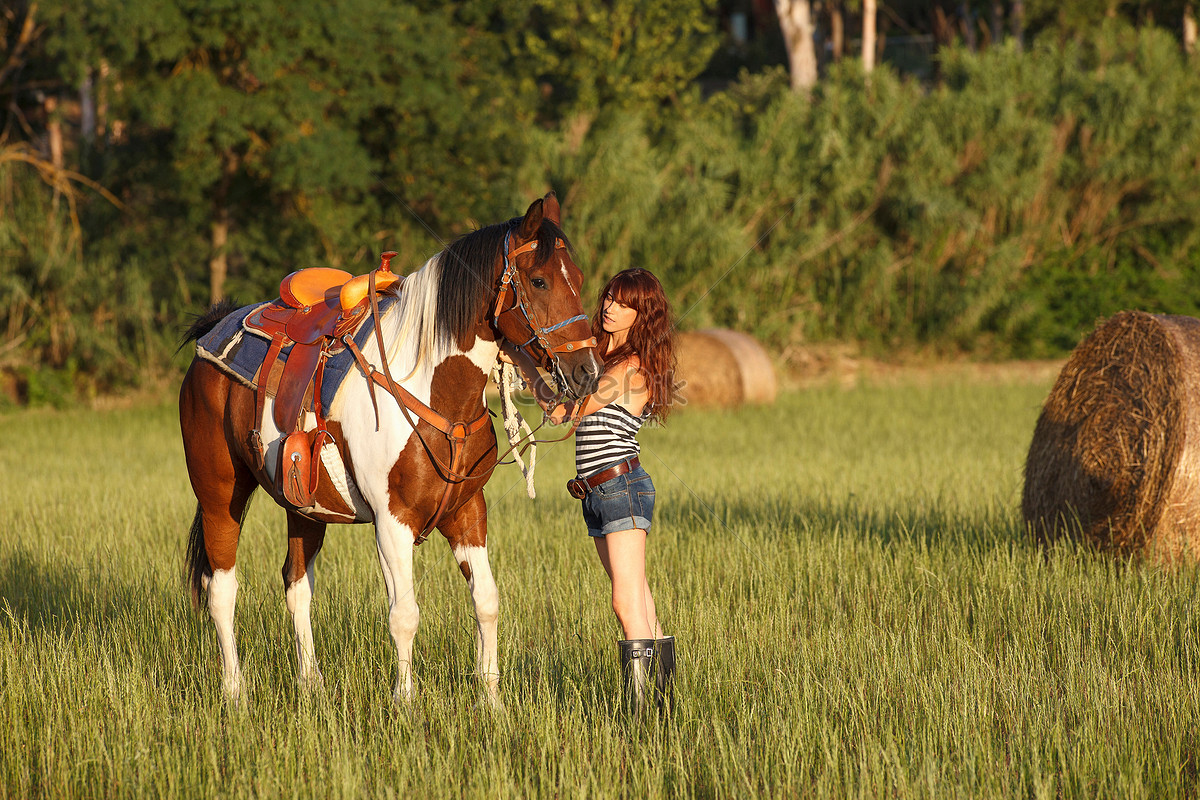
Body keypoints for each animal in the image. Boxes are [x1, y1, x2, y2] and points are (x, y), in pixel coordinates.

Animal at [176, 195, 600, 705]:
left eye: (578, 278)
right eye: (538, 280)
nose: (587, 372)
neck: (432, 391)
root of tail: (212, 327)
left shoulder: (467, 513)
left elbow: (487, 601)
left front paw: (491, 699)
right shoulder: (391, 522)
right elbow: (405, 614)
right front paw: (405, 701)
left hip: (304, 508)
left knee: (297, 587)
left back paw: (311, 683)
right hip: (220, 495)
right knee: (222, 589)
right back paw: (235, 691)